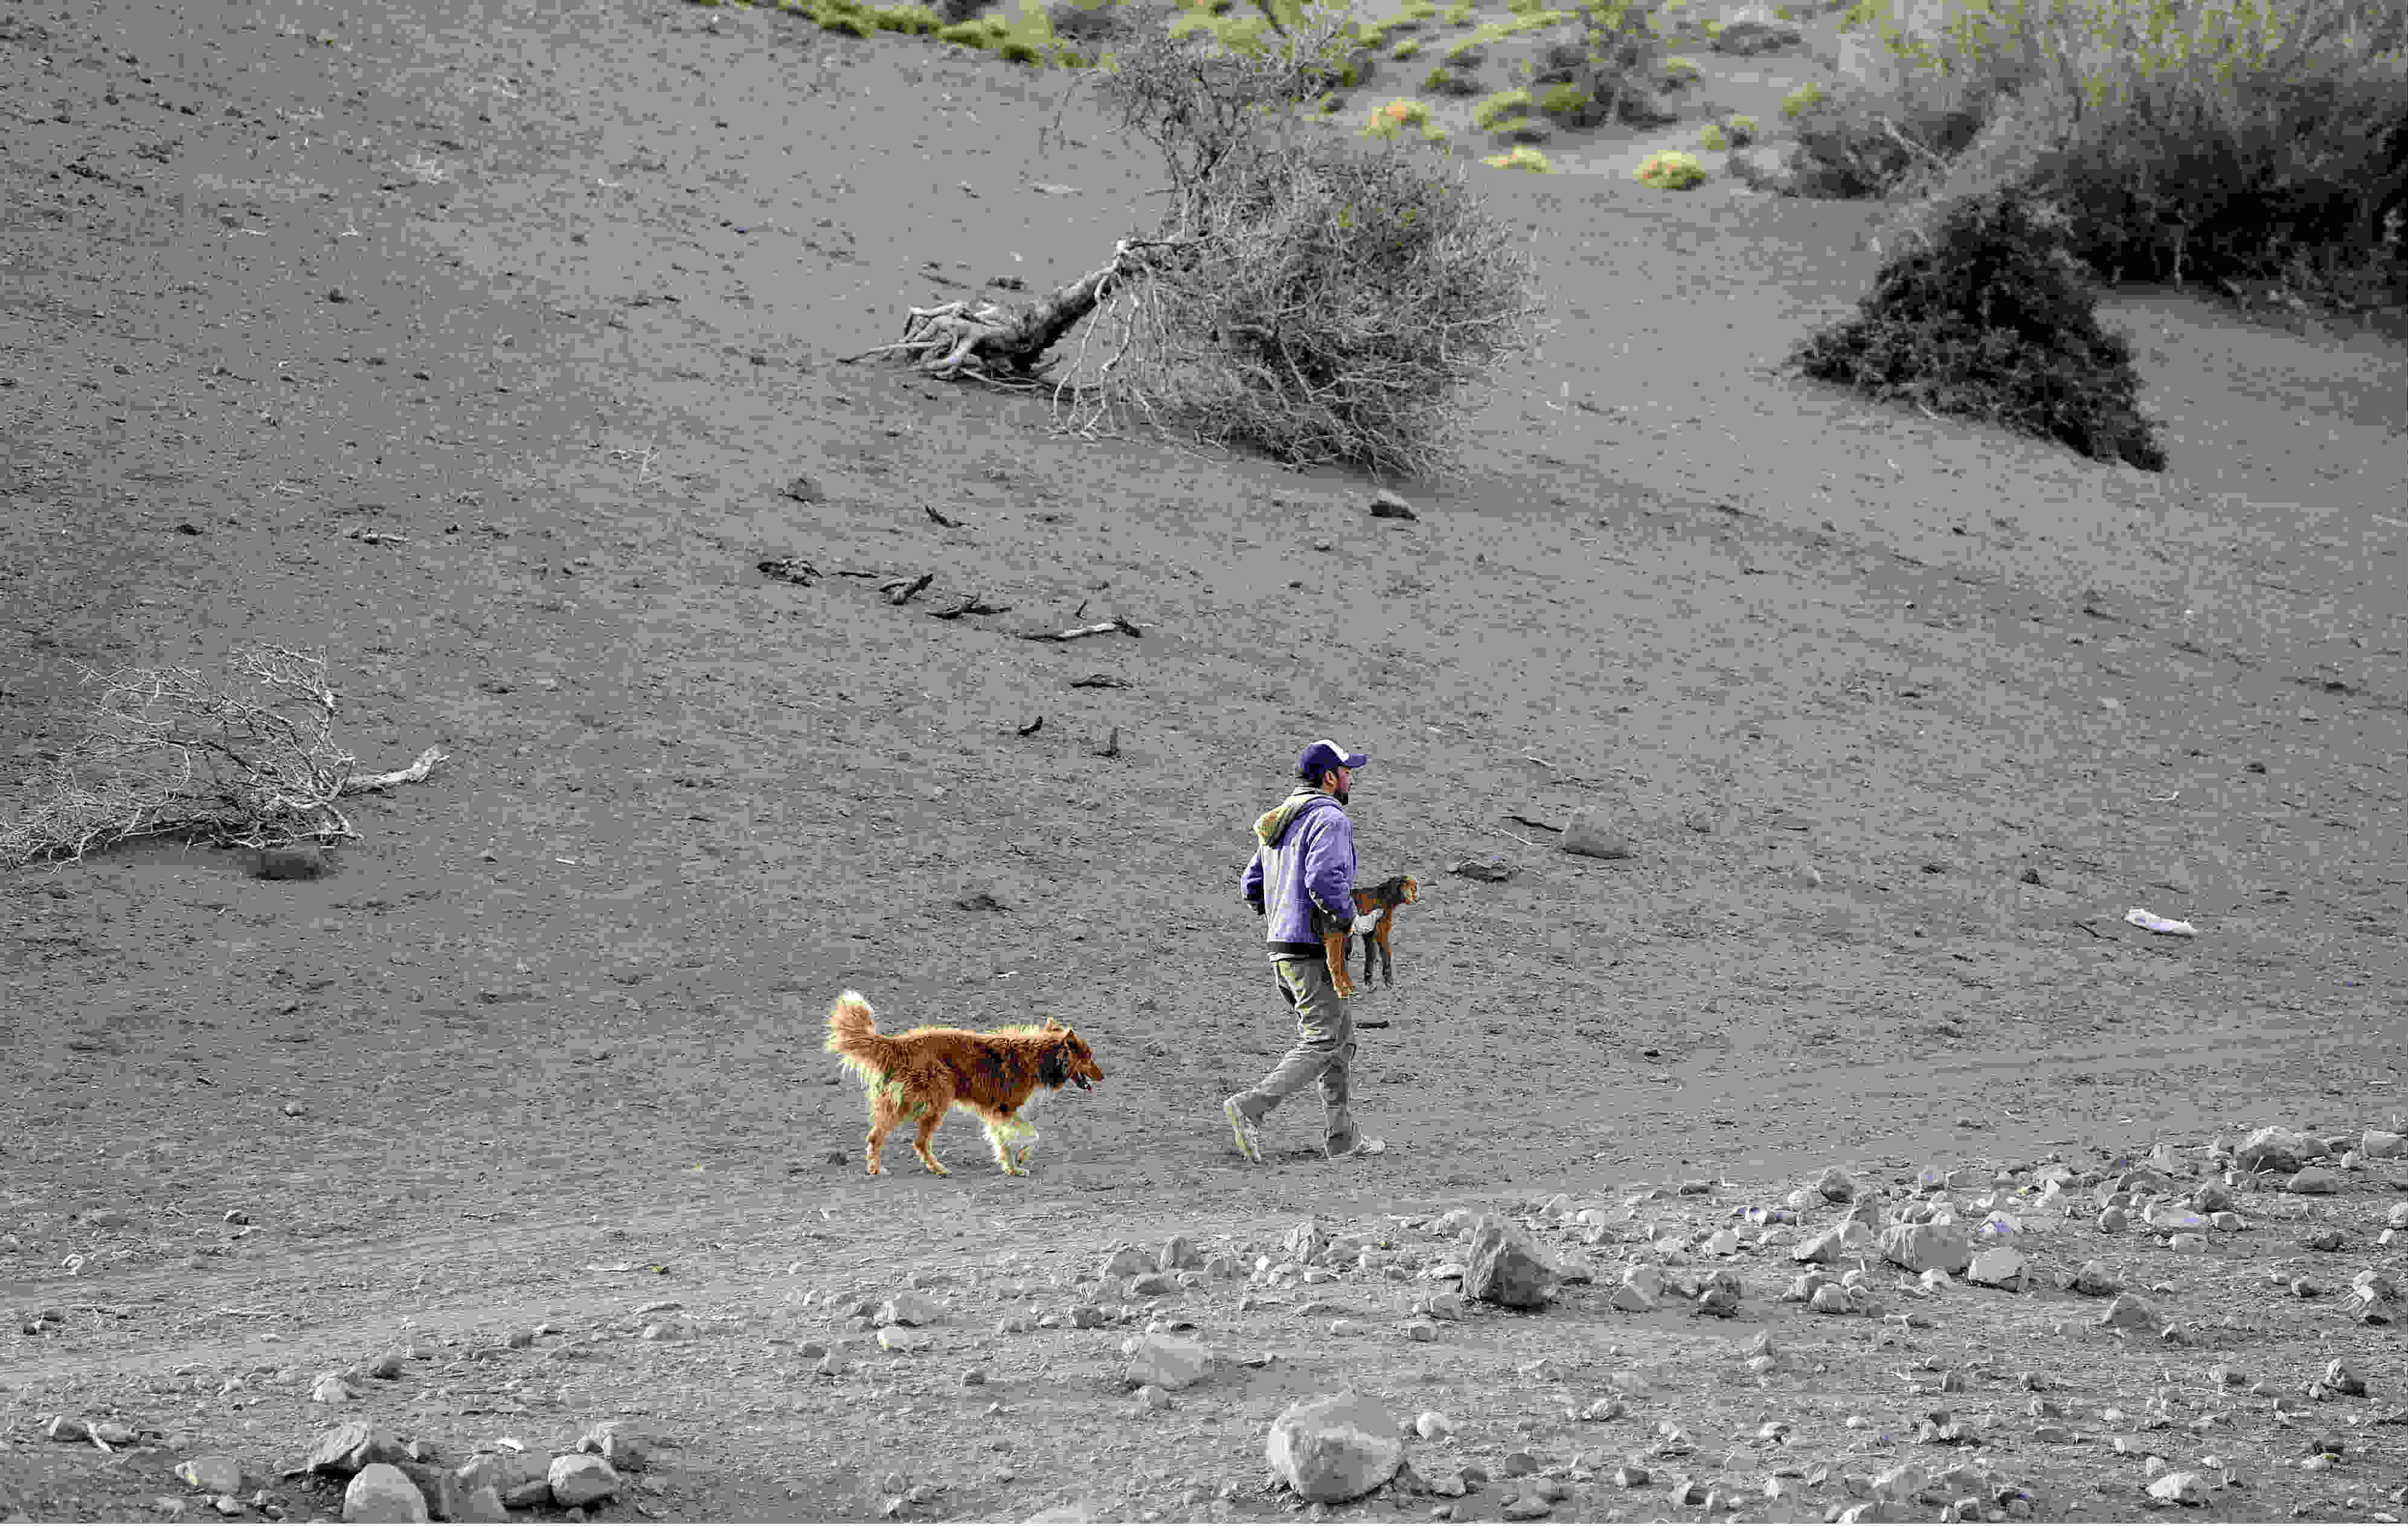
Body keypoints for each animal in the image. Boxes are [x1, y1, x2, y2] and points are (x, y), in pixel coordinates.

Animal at [818, 987, 1103, 1174]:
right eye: (1089, 1056)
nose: (1103, 1076)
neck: (1039, 1056)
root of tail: (899, 1045)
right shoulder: (1003, 1110)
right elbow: (1031, 1135)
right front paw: (1018, 1163)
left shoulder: (996, 1112)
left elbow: (1008, 1141)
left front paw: (1012, 1165)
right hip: (934, 1100)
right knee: (916, 1141)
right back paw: (935, 1169)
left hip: (902, 1104)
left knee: (876, 1137)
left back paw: (879, 1169)